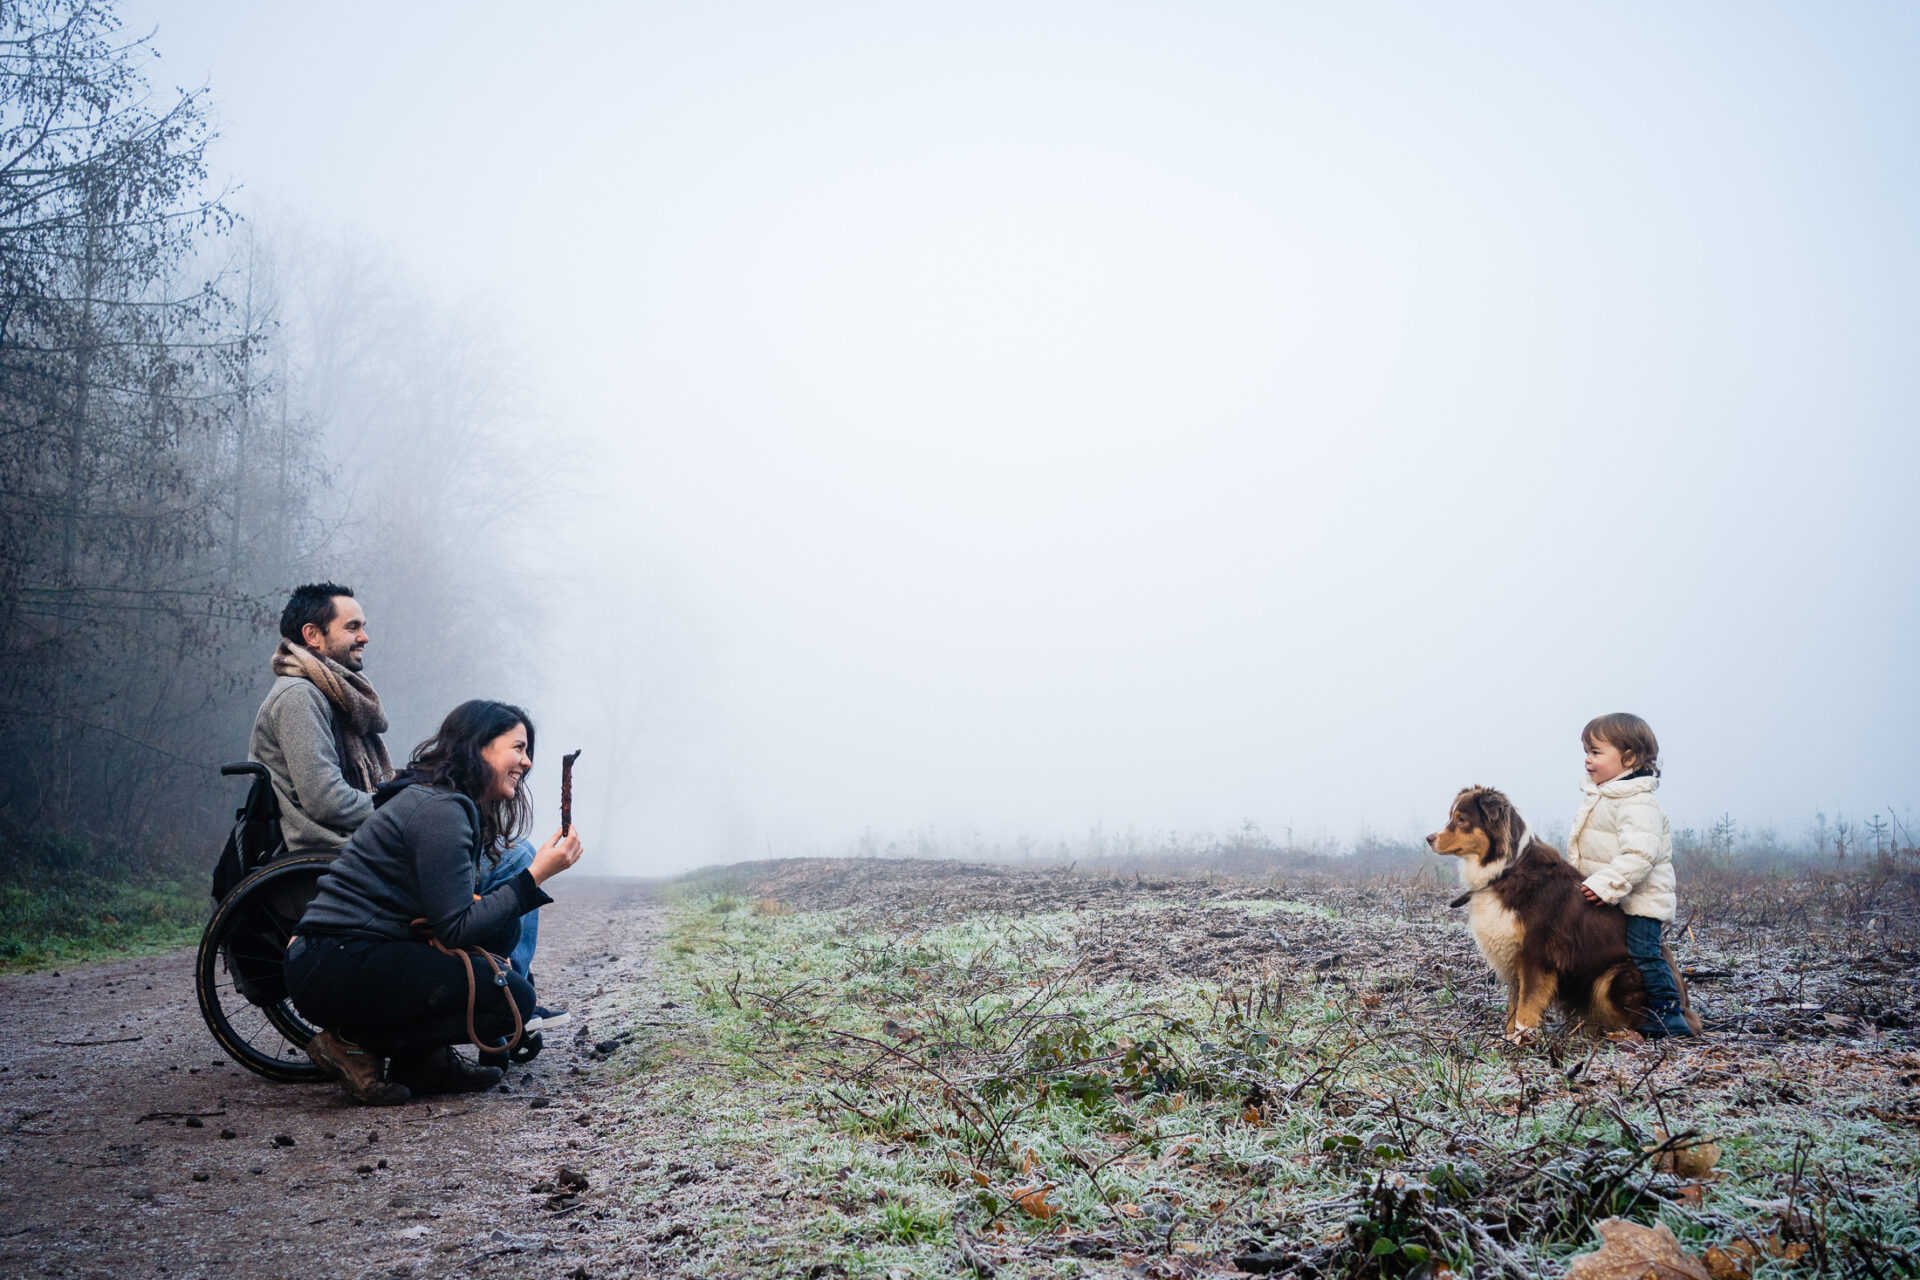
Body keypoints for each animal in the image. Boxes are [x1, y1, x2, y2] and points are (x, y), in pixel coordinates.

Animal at [1428, 786, 1651, 1043]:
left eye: (1462, 819)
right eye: (1451, 816)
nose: (1429, 838)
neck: (1506, 870)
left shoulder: (1536, 955)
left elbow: (1525, 1008)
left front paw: (1520, 1041)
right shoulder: (1514, 955)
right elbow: (1513, 1006)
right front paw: (1506, 1039)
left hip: (1615, 975)